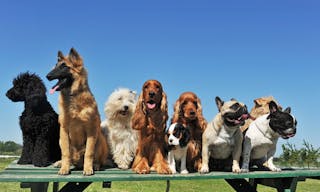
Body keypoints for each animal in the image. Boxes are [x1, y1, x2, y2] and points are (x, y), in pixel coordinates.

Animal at [46, 48, 108, 176]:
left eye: (64, 66)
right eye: (55, 66)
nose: (47, 76)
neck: (72, 96)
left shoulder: (91, 130)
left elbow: (89, 153)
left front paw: (88, 168)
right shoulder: (64, 131)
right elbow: (65, 153)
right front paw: (64, 168)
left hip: (100, 139)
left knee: (98, 159)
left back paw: (95, 165)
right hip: (61, 140)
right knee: (69, 157)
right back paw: (61, 163)